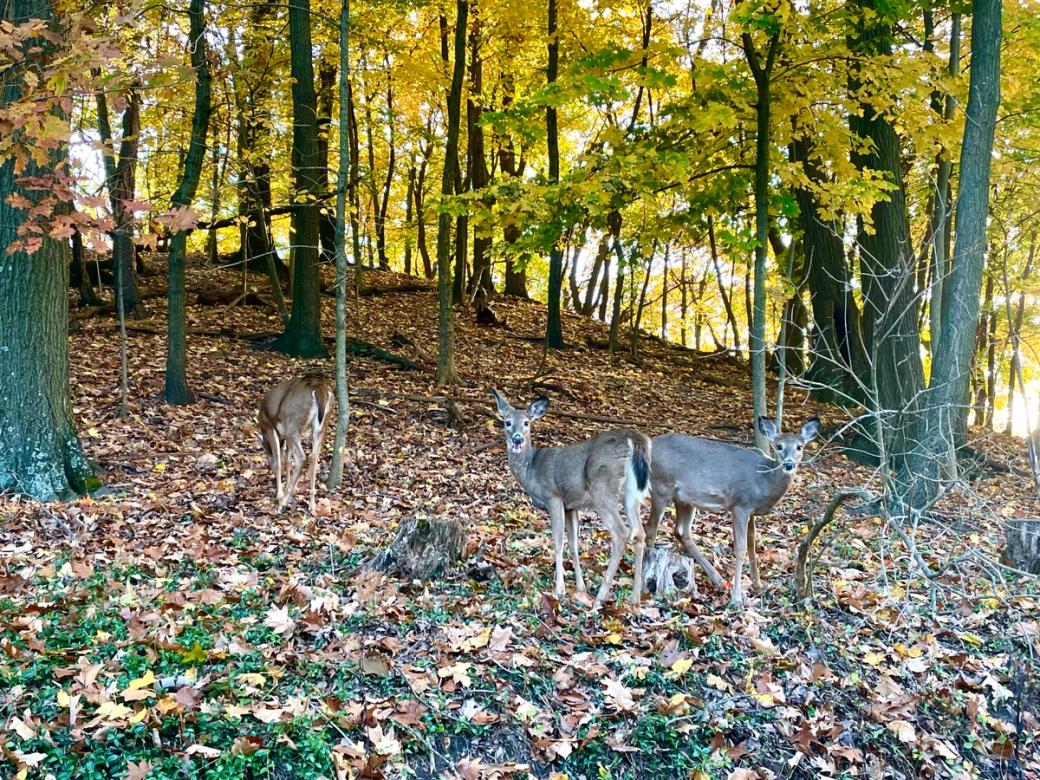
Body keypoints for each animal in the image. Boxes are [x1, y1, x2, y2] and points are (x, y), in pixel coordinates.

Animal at [258, 374, 334, 513]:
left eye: (267, 458)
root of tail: (320, 389)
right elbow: (288, 459)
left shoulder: (270, 427)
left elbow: (279, 462)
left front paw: (279, 494)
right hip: (322, 425)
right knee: (314, 456)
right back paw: (312, 505)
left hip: (293, 425)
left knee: (302, 457)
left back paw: (282, 503)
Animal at [491, 389, 651, 609]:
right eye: (507, 422)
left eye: (526, 423)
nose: (517, 439)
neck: (532, 468)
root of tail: (633, 439)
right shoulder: (571, 506)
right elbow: (574, 545)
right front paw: (580, 587)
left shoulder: (554, 496)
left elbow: (558, 542)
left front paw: (560, 590)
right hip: (630, 495)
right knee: (639, 533)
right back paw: (635, 599)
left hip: (602, 489)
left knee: (621, 533)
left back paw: (600, 598)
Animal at [647, 416, 820, 607]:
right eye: (778, 446)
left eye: (799, 446)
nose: (789, 464)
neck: (763, 480)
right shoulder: (740, 506)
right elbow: (741, 548)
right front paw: (737, 598)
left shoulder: (751, 511)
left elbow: (752, 545)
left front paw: (759, 586)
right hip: (661, 487)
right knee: (651, 528)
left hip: (684, 498)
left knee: (681, 532)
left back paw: (719, 580)